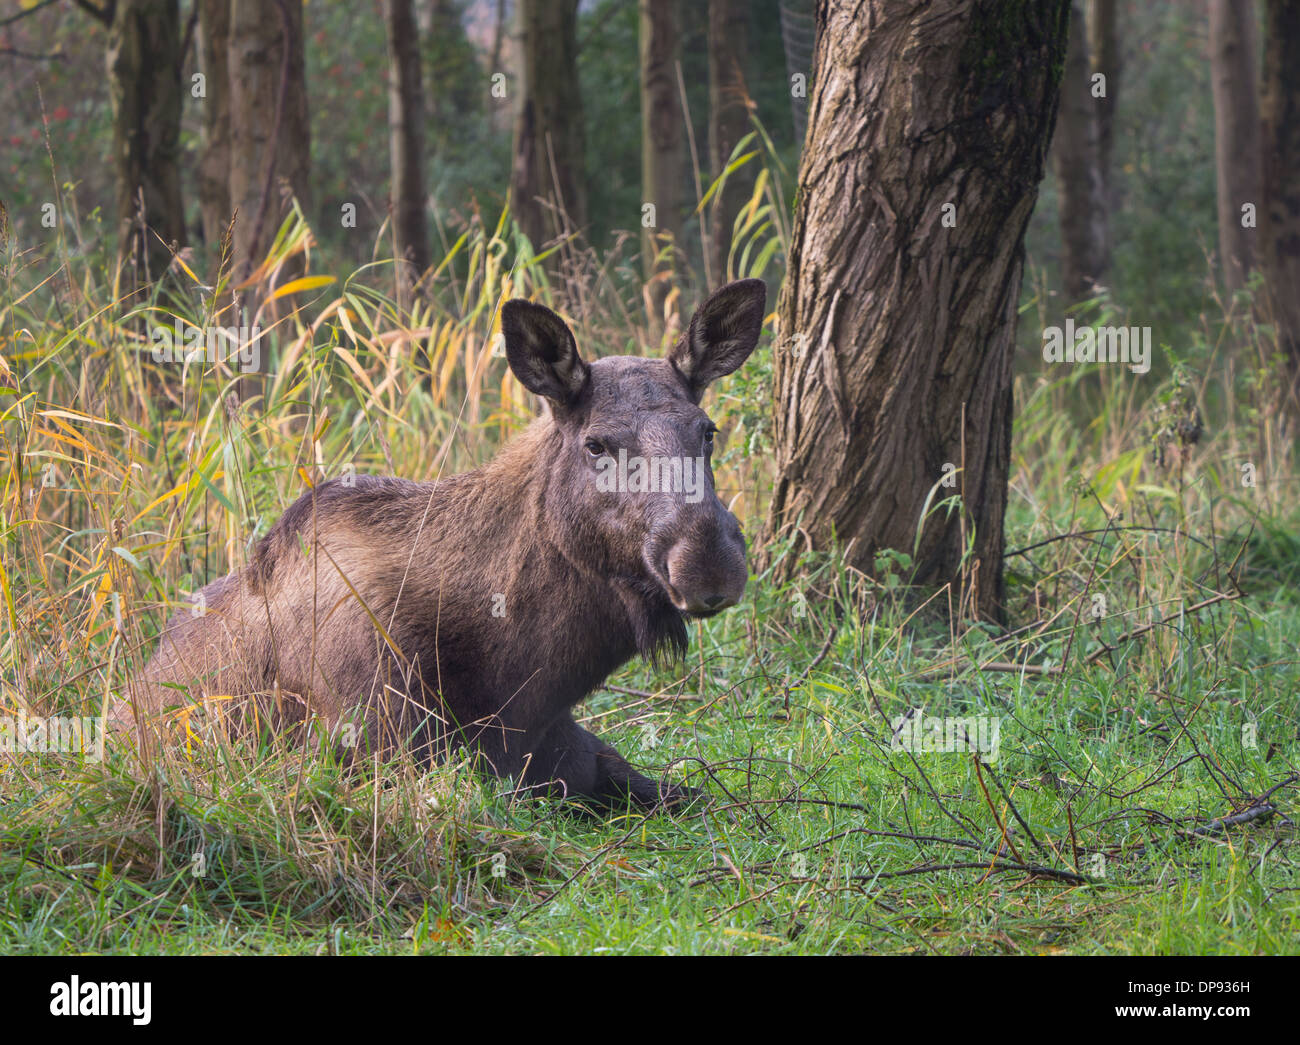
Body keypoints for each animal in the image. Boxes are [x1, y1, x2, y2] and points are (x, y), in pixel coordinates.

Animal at [122, 278, 764, 805]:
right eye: (597, 444)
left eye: (707, 431)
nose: (709, 562)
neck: (516, 686)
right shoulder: (375, 750)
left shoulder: (581, 755)